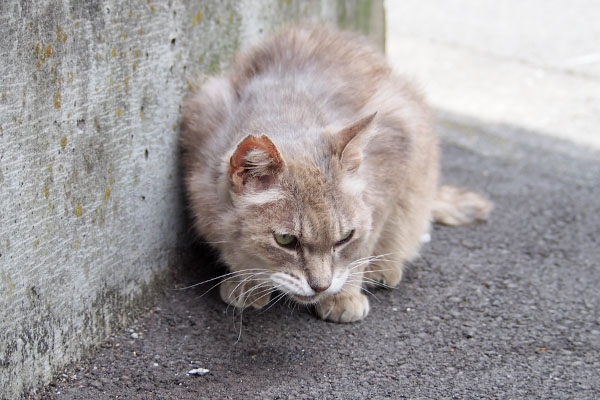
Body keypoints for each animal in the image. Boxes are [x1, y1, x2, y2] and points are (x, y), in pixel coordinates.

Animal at [179, 25, 492, 324]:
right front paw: (248, 281)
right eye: (285, 240)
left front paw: (344, 294)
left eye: (345, 238)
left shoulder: (390, 168)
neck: (291, 111)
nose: (321, 286)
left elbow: (363, 248)